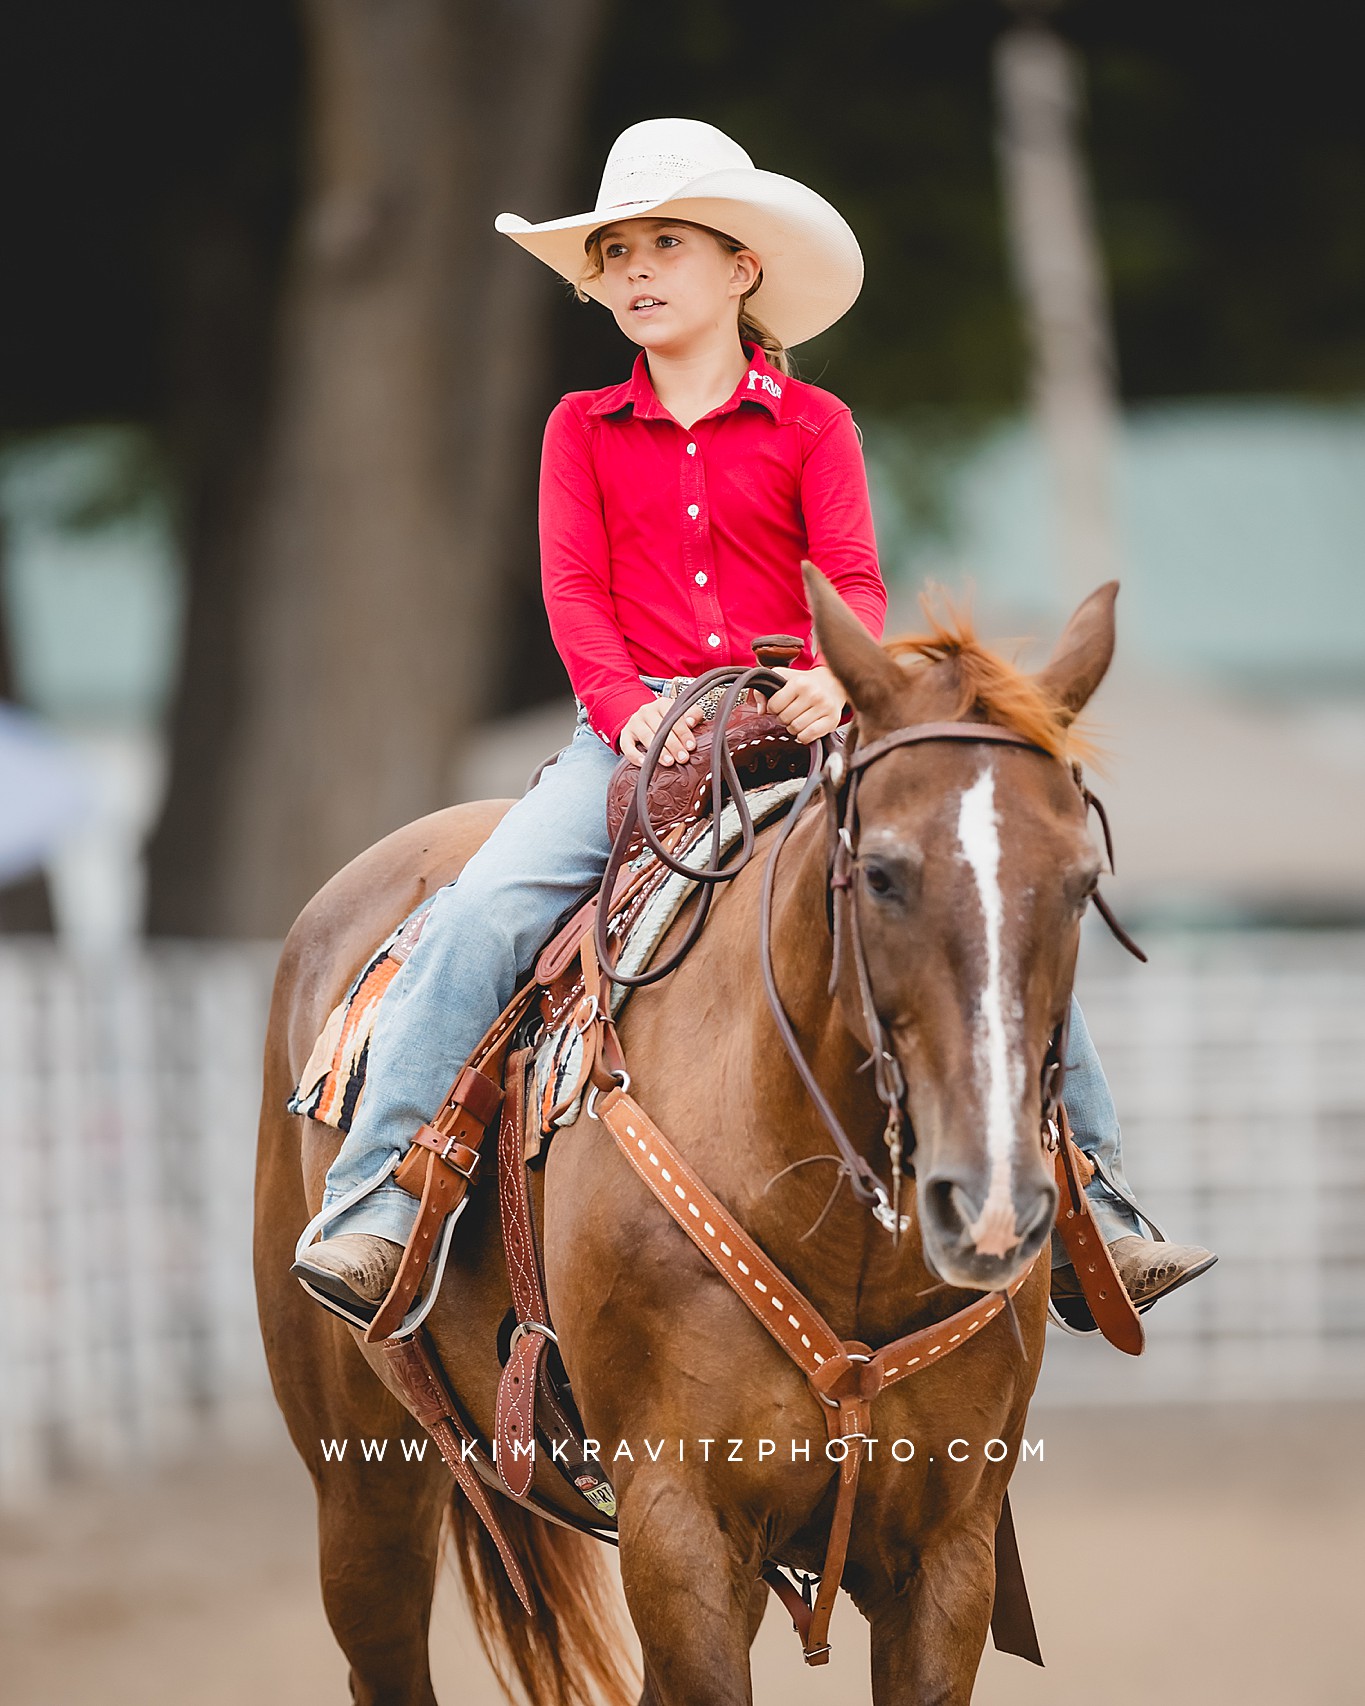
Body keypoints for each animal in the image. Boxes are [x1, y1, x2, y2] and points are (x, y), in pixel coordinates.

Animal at [255, 573, 1119, 1706]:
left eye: (1079, 881)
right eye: (882, 873)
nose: (991, 1201)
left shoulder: (948, 1550)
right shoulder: (680, 1533)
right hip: (362, 1490)